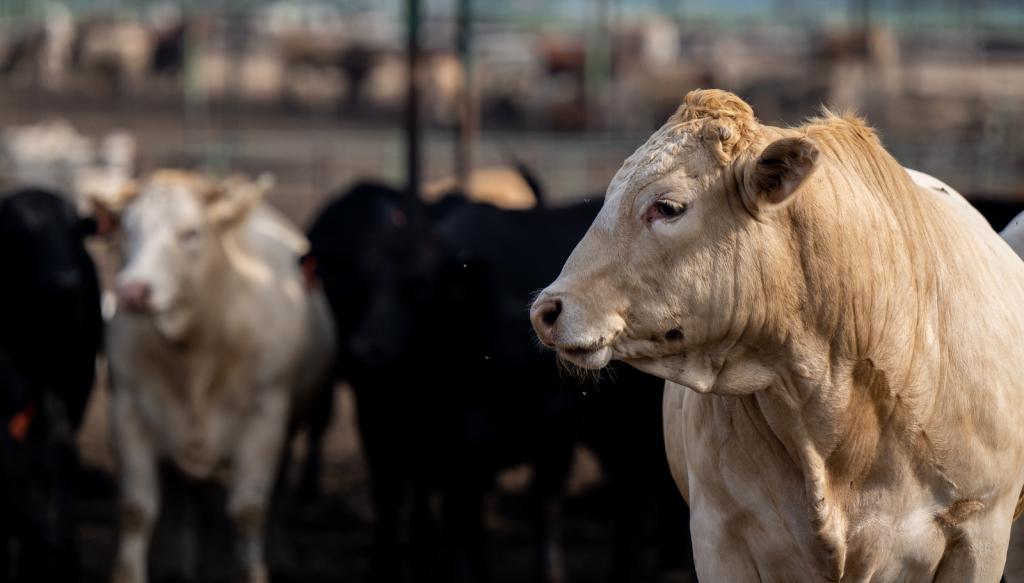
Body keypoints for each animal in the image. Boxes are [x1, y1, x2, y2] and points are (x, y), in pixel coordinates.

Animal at [100, 170, 335, 583]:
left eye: (191, 233)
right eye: (126, 231)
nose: (132, 291)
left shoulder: (265, 417)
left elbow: (248, 511)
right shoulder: (126, 409)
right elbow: (135, 510)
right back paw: (178, 564)